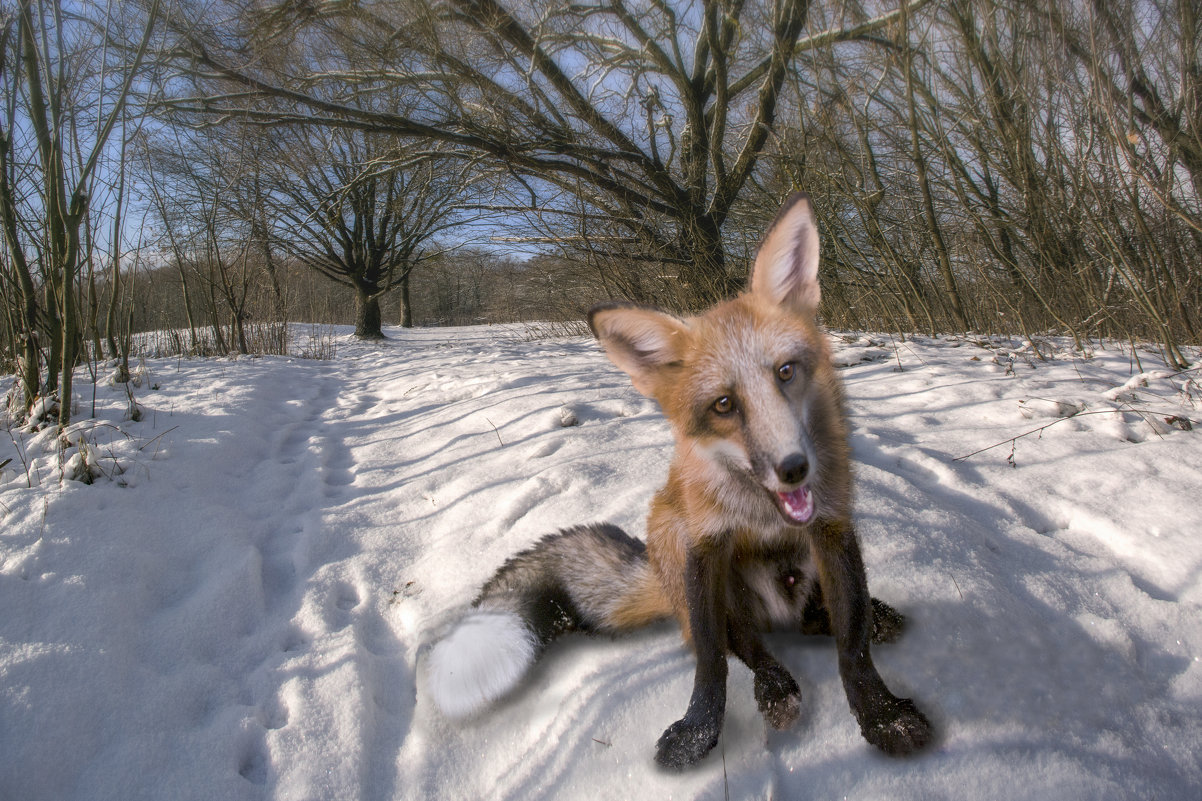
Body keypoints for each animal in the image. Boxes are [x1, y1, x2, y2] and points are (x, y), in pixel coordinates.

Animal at [427, 193, 932, 769]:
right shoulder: (705, 544)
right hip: (677, 542)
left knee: (817, 623)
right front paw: (699, 731)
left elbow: (853, 645)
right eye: (724, 405)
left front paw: (882, 715)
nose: (794, 468)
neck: (760, 513)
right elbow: (712, 661)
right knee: (744, 643)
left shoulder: (832, 527)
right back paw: (775, 686)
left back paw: (868, 619)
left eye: (786, 372)